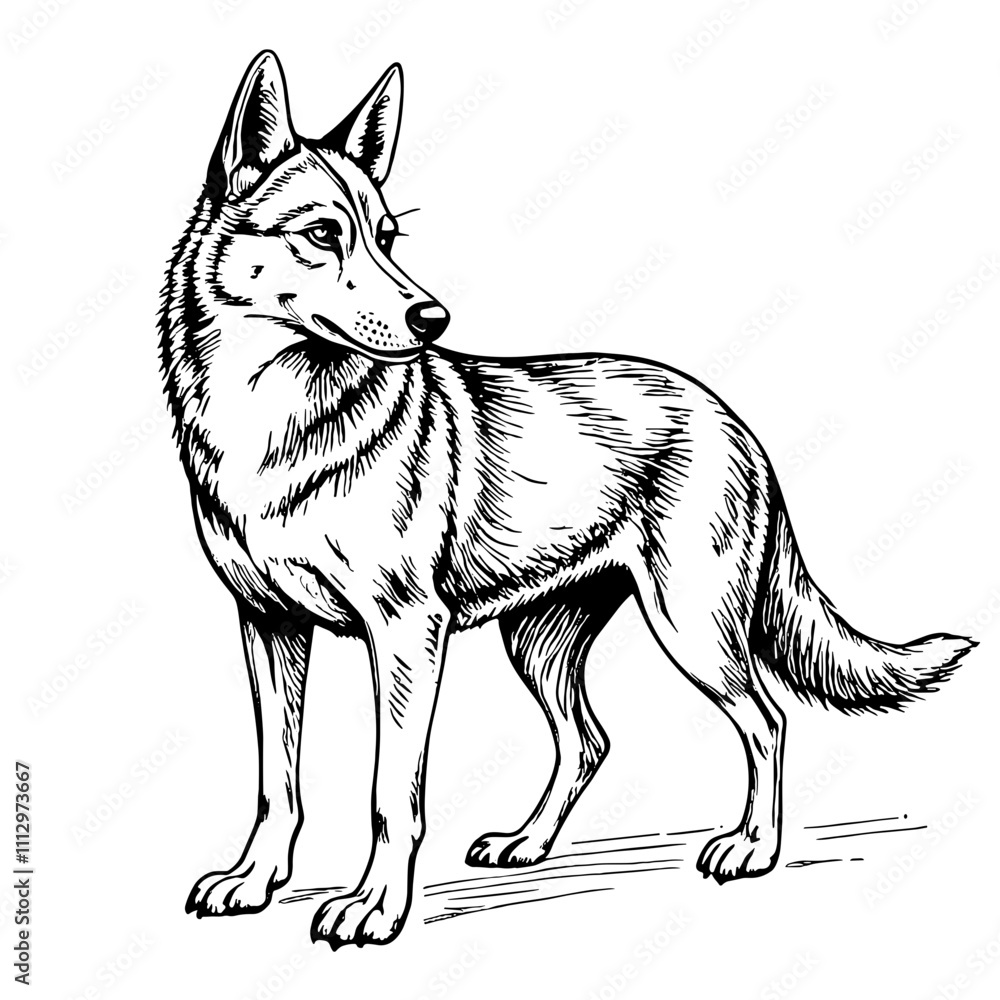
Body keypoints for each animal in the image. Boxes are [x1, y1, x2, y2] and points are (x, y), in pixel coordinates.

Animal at [159, 51, 974, 949]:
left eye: (388, 238)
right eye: (320, 235)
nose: (433, 317)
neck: (278, 418)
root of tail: (730, 415)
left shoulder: (406, 633)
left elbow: (390, 796)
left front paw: (376, 905)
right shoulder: (269, 628)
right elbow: (279, 782)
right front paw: (255, 880)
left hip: (693, 626)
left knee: (767, 721)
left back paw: (754, 848)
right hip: (539, 642)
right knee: (589, 740)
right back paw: (529, 842)